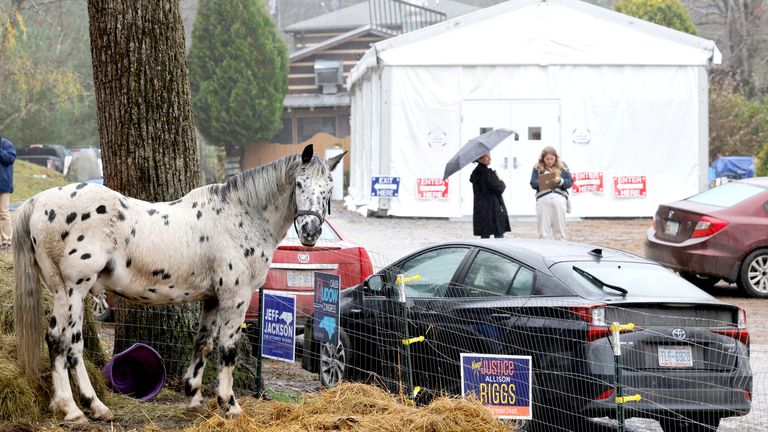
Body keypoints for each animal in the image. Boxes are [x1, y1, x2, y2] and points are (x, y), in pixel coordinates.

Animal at [13, 145, 344, 422]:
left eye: (328, 188)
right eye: (299, 184)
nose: (311, 231)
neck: (241, 216)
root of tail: (38, 202)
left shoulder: (212, 299)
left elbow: (203, 343)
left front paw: (194, 396)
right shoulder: (235, 297)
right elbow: (228, 350)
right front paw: (229, 404)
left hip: (66, 291)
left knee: (65, 343)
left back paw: (87, 406)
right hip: (72, 290)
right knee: (62, 342)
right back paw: (76, 409)